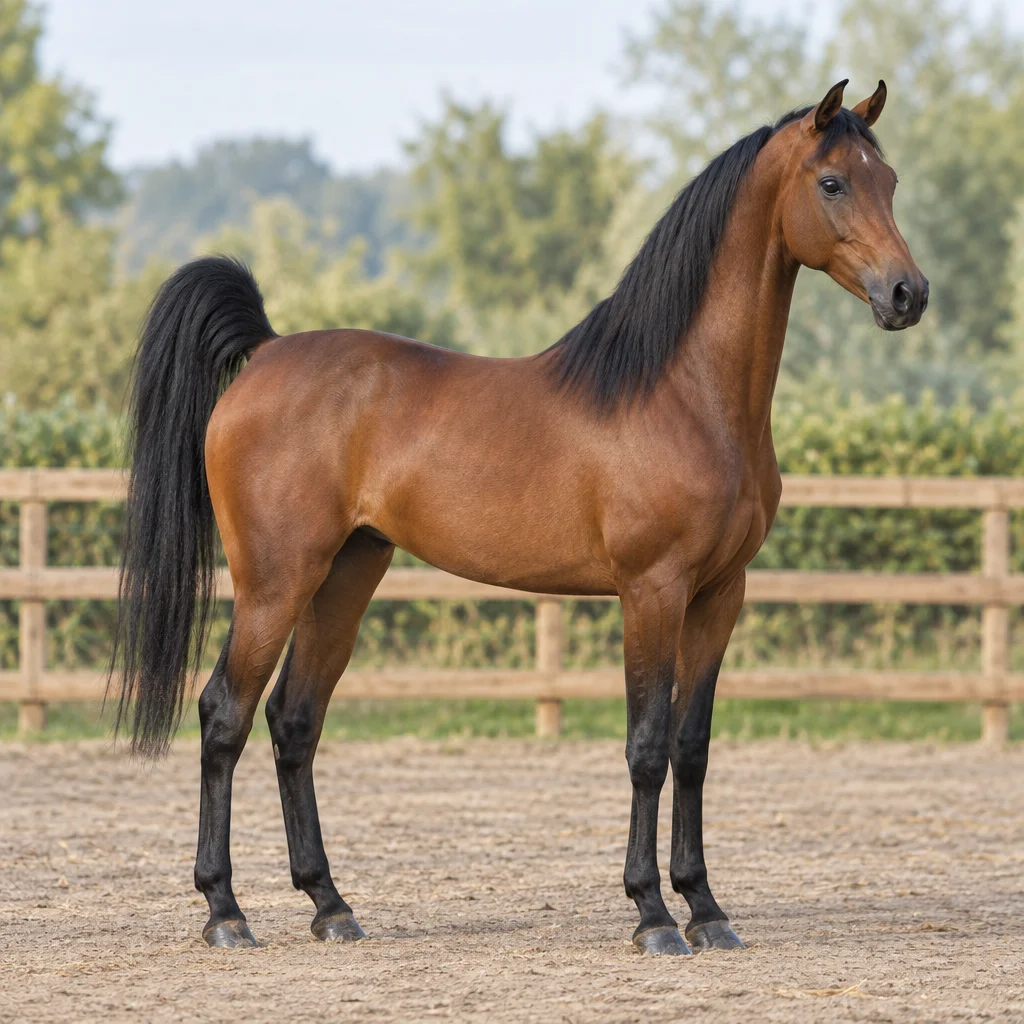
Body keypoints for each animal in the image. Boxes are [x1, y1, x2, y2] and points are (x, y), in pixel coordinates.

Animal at [112, 79, 927, 955]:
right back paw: (225, 912)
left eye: (890, 181)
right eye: (833, 183)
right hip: (275, 582)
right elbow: (646, 747)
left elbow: (692, 746)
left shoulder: (720, 595)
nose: (908, 295)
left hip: (347, 574)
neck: (684, 393)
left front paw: (707, 910)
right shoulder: (653, 591)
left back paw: (331, 906)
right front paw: (652, 915)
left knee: (294, 721)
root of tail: (264, 353)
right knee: (223, 714)